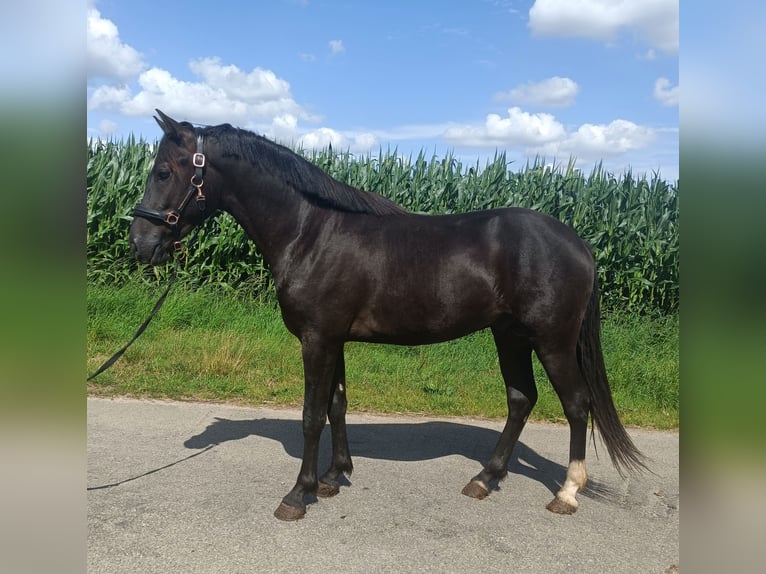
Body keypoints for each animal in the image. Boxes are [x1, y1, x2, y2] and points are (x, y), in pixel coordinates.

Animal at [129, 109, 644, 520]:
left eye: (163, 171)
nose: (139, 243)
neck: (310, 231)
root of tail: (579, 243)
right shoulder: (333, 339)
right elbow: (336, 405)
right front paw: (334, 477)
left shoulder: (317, 338)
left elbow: (311, 415)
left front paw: (299, 494)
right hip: (510, 336)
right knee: (521, 399)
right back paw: (485, 478)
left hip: (551, 340)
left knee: (576, 405)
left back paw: (567, 492)